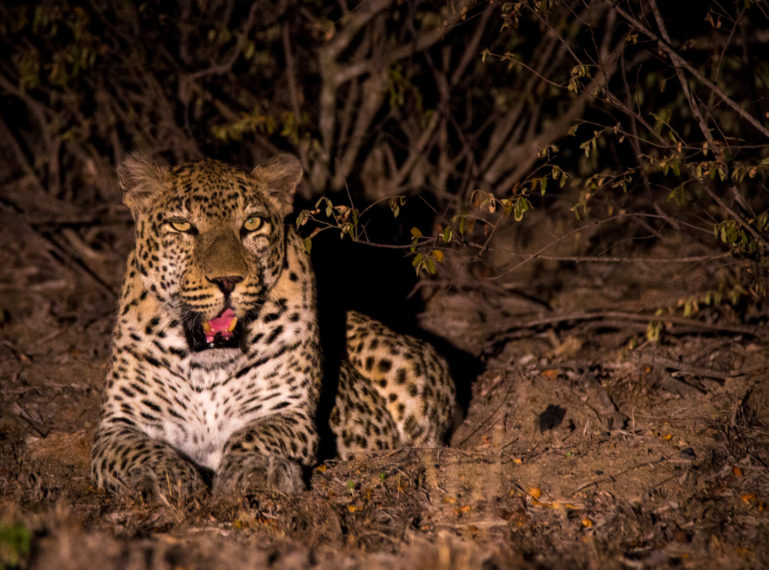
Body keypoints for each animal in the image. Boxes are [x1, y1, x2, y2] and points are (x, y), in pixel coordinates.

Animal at [88, 152, 456, 502]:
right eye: (181, 225)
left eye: (253, 223)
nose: (227, 281)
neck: (207, 370)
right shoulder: (119, 424)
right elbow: (140, 452)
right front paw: (163, 478)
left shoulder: (285, 411)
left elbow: (254, 435)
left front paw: (253, 471)